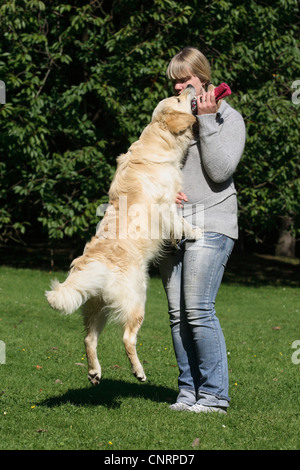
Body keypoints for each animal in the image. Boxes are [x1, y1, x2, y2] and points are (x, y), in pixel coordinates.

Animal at [46, 86, 202, 388]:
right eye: (178, 99)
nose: (189, 87)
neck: (158, 140)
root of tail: (94, 266)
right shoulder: (166, 204)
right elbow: (179, 221)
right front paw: (192, 232)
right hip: (137, 300)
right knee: (128, 338)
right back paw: (138, 371)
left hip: (97, 307)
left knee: (88, 338)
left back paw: (95, 373)